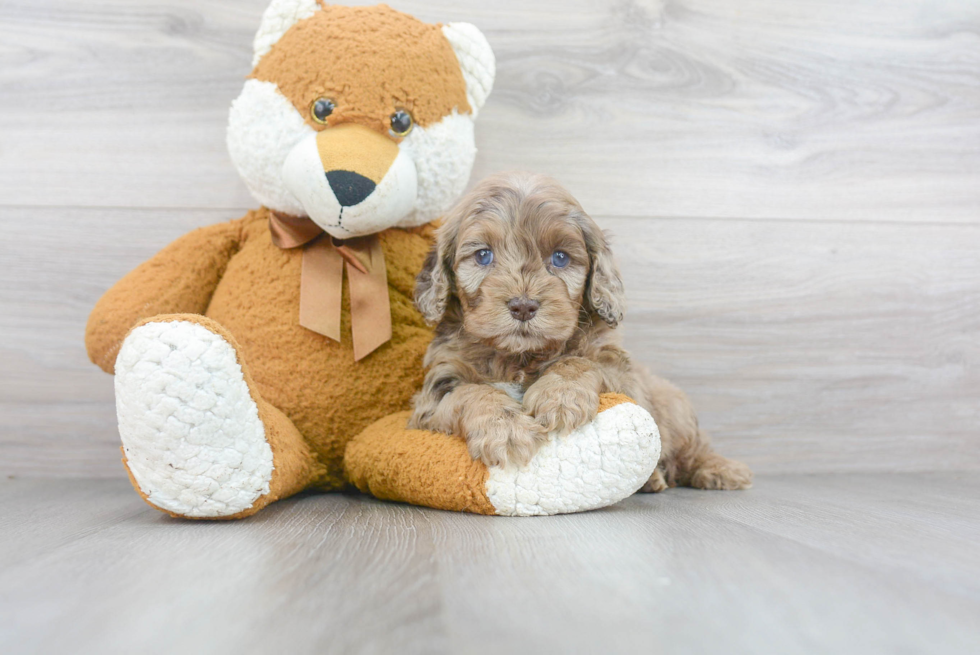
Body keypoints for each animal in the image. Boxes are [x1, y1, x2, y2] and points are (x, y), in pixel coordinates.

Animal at [406, 172, 752, 490]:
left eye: (560, 257)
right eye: (483, 255)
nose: (523, 306)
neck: (519, 357)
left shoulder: (622, 374)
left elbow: (579, 362)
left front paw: (560, 398)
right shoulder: (432, 398)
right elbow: (472, 392)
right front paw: (506, 431)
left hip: (674, 405)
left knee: (693, 447)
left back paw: (719, 470)